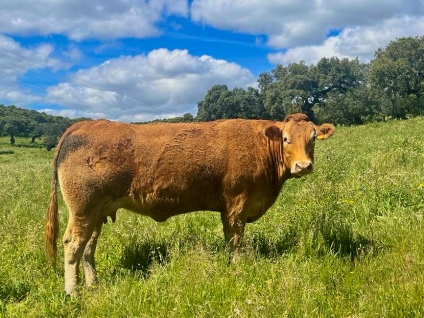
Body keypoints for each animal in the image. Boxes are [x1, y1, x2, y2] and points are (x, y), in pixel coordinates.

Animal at [44, 113, 334, 294]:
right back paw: (73, 292)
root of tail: (83, 125)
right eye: (286, 139)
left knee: (88, 248)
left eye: (312, 139)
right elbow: (236, 238)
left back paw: (93, 285)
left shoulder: (228, 207)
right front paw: (238, 267)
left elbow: (229, 238)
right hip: (82, 209)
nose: (304, 166)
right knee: (72, 244)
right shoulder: (237, 203)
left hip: (96, 212)